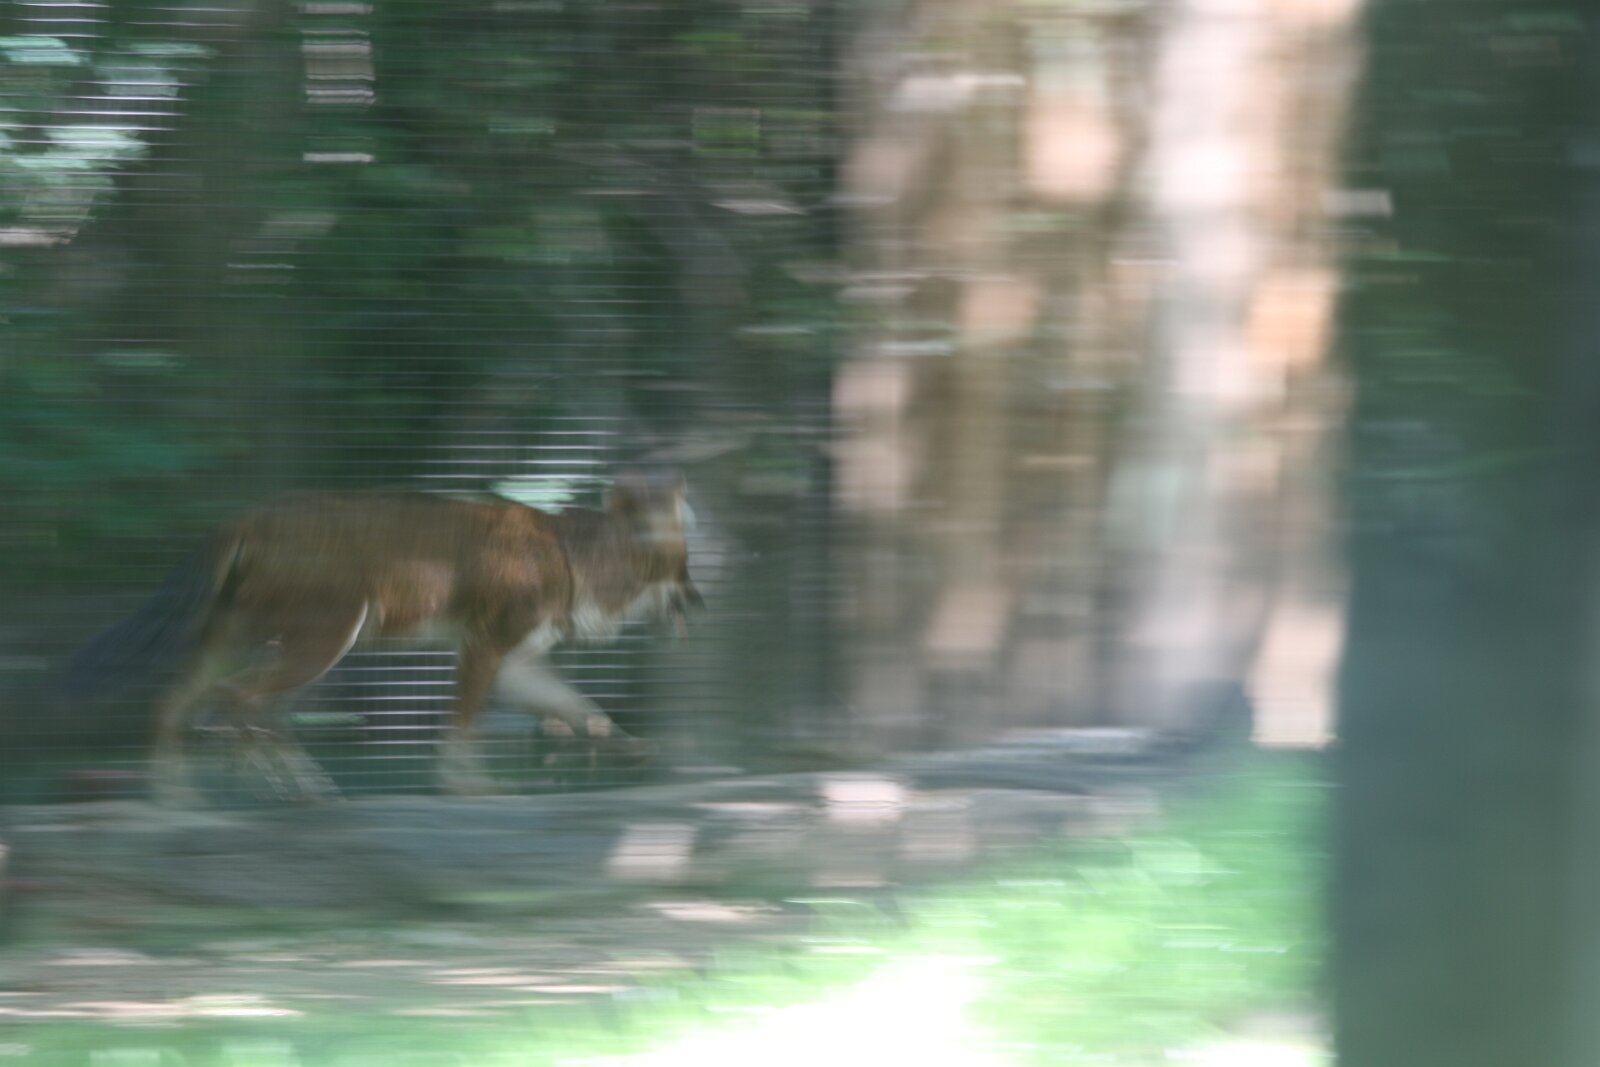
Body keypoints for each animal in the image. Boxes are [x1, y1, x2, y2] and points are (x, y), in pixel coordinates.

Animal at [66, 472, 702, 805]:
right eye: (686, 564)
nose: (701, 600)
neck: (580, 559)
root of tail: (244, 519)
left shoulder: (518, 660)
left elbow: (582, 707)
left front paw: (632, 749)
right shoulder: (484, 644)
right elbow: (463, 724)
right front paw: (466, 785)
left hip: (234, 638)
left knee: (175, 700)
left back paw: (176, 795)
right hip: (327, 633)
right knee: (243, 700)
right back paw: (298, 785)